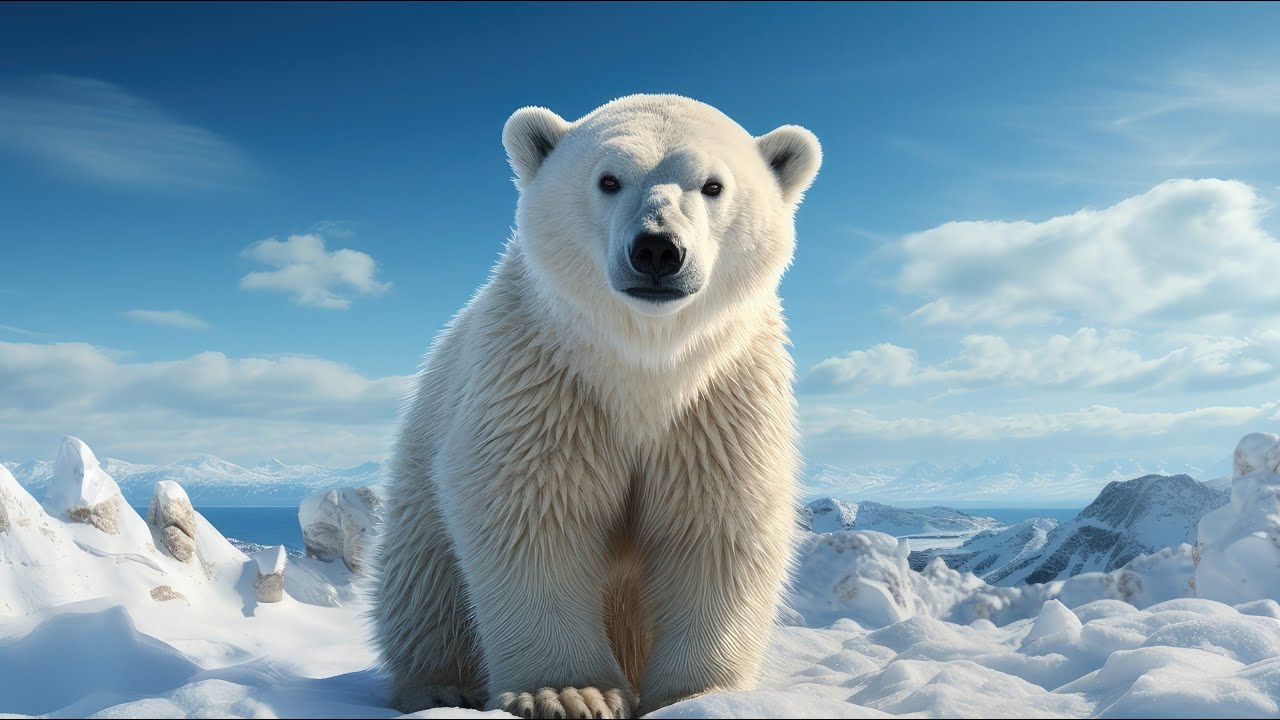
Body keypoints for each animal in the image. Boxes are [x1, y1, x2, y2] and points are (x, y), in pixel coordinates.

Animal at [371, 94, 822, 719]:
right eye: (609, 179)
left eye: (712, 185)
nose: (657, 248)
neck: (643, 368)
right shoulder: (542, 388)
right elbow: (532, 511)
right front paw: (566, 692)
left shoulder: (719, 404)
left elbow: (715, 522)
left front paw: (701, 694)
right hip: (419, 489)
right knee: (424, 586)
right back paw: (438, 685)